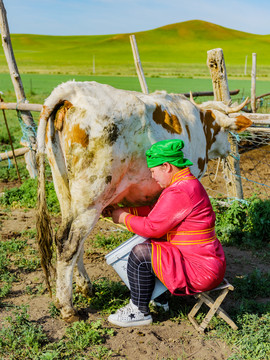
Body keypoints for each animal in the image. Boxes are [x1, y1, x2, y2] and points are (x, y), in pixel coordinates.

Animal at [35, 81, 251, 320]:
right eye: (227, 131)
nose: (231, 151)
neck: (199, 123)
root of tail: (72, 90)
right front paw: (162, 298)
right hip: (90, 197)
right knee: (68, 243)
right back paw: (67, 307)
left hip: (65, 190)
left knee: (72, 240)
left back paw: (85, 287)